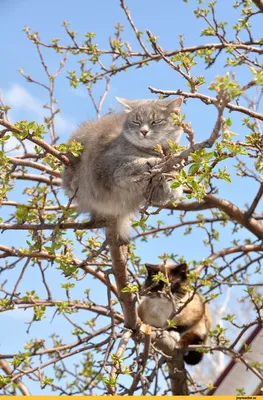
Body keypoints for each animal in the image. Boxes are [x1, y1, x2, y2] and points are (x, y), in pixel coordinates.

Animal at [63, 97, 185, 241]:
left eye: (155, 121)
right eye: (136, 121)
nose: (143, 131)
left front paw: (173, 182)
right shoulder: (106, 163)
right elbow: (130, 163)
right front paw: (153, 163)